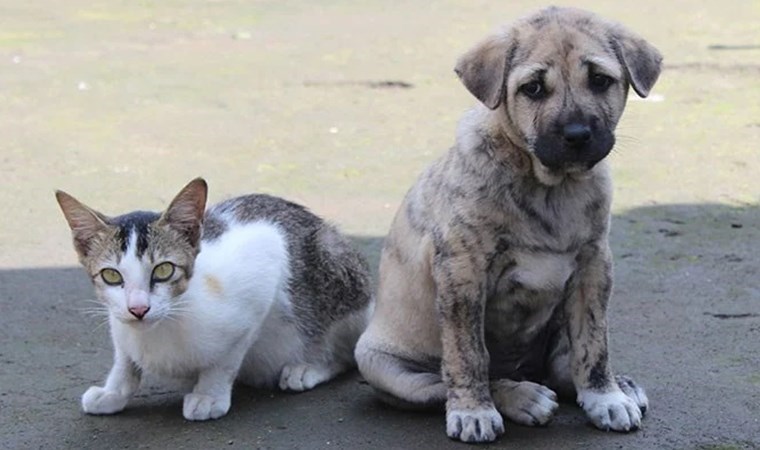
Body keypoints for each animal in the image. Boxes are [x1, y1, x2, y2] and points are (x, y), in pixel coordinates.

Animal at [55, 178, 372, 420]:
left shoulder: (264, 267)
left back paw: (310, 366)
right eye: (111, 275)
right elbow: (124, 358)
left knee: (347, 353)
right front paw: (113, 391)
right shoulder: (118, 321)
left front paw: (209, 394)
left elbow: (226, 359)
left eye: (164, 270)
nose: (138, 309)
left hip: (337, 270)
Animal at [354, 5, 664, 444]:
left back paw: (617, 385)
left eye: (600, 80)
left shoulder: (593, 266)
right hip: (384, 365)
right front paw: (474, 411)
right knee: (448, 381)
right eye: (532, 88)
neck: (549, 187)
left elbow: (593, 342)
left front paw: (605, 396)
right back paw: (522, 397)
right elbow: (468, 354)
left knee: (562, 365)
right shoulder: (462, 272)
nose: (577, 135)